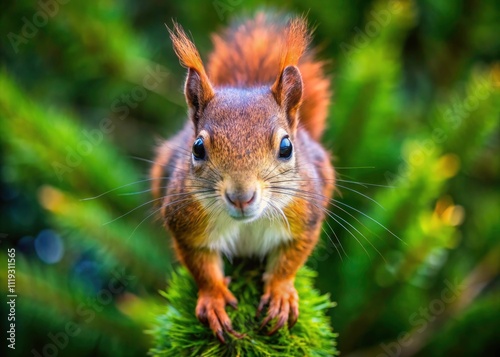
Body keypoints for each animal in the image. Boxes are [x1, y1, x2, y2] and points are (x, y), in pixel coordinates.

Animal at [150, 13, 334, 342]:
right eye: (197, 148)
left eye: (286, 147)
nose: (241, 197)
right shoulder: (184, 221)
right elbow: (201, 266)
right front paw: (214, 299)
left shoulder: (307, 217)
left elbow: (290, 261)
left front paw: (281, 294)